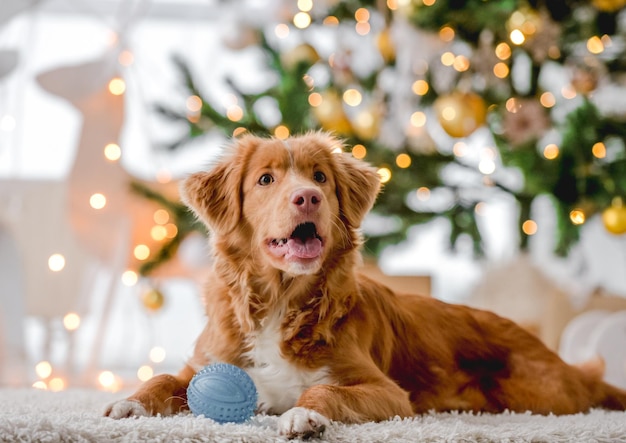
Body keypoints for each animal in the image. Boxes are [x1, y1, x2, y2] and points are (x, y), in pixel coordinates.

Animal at [105, 133, 624, 440]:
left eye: (319, 177)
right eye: (266, 179)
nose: (308, 197)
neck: (281, 302)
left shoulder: (389, 393)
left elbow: (324, 393)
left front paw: (303, 416)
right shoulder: (205, 363)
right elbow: (164, 379)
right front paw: (129, 404)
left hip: (540, 395)